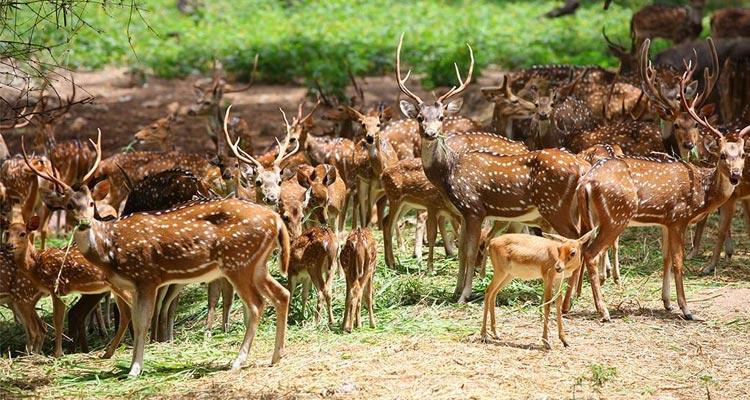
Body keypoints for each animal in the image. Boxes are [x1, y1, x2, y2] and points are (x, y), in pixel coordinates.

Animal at [4, 217, 132, 358]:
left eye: (23, 233)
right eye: (7, 233)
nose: (9, 245)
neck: (37, 262)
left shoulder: (57, 287)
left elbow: (57, 319)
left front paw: (57, 354)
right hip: (116, 288)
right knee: (126, 314)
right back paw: (108, 353)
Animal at [26, 132, 292, 378]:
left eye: (91, 203)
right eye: (69, 205)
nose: (83, 223)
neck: (110, 248)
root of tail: (276, 220)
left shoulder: (146, 276)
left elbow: (142, 321)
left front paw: (134, 369)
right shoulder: (134, 284)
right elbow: (136, 319)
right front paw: (134, 363)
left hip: (238, 262)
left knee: (257, 304)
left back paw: (237, 361)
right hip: (256, 264)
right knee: (282, 294)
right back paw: (276, 356)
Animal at [396, 34, 608, 318]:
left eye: (441, 117)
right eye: (420, 117)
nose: (430, 133)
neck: (449, 173)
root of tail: (583, 167)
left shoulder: (474, 208)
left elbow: (470, 251)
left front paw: (464, 295)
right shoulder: (464, 211)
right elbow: (461, 251)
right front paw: (454, 291)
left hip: (555, 205)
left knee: (578, 242)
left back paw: (572, 303)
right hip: (572, 208)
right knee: (585, 239)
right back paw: (576, 298)